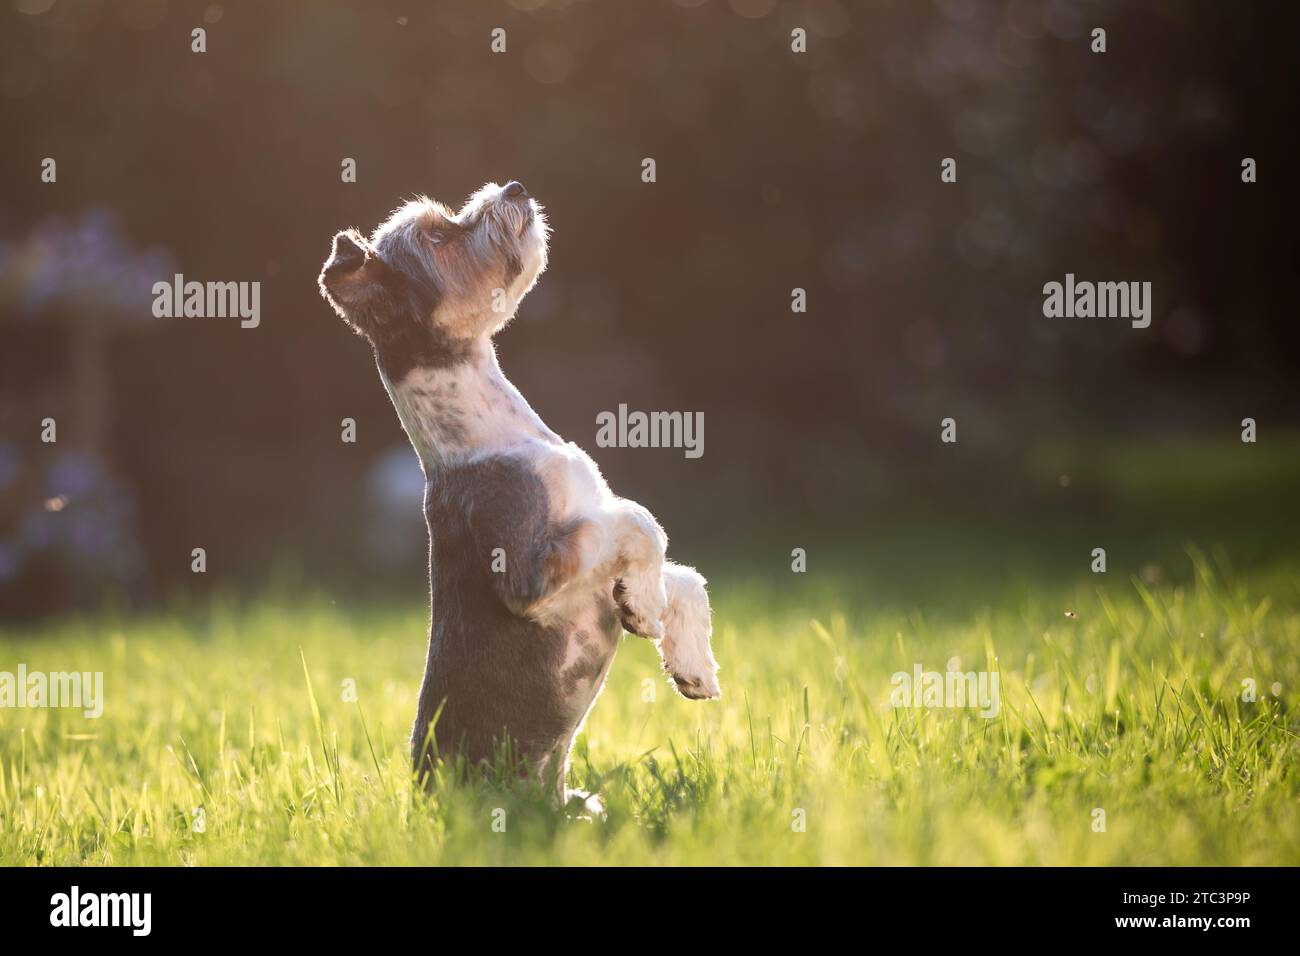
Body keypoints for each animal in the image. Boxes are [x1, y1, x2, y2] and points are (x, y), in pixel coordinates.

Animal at [315, 179, 722, 806]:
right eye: (438, 236)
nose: (514, 188)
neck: (500, 434)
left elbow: (683, 576)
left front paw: (684, 656)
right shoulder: (528, 571)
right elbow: (636, 518)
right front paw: (645, 607)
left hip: (586, 804)